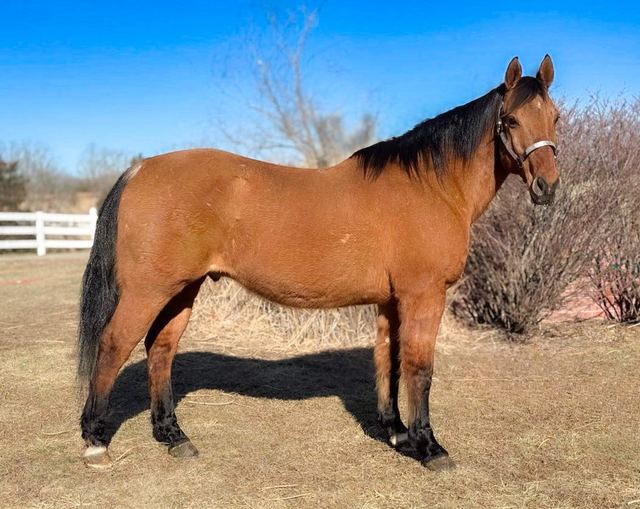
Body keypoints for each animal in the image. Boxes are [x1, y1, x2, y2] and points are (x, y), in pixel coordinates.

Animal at [77, 55, 560, 471]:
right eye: (511, 120)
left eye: (555, 118)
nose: (547, 187)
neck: (430, 186)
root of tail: (139, 169)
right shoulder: (424, 295)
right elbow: (419, 368)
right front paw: (429, 446)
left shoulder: (391, 301)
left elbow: (388, 360)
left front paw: (397, 432)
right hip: (148, 290)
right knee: (113, 345)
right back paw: (96, 439)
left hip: (182, 289)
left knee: (161, 349)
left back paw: (173, 436)